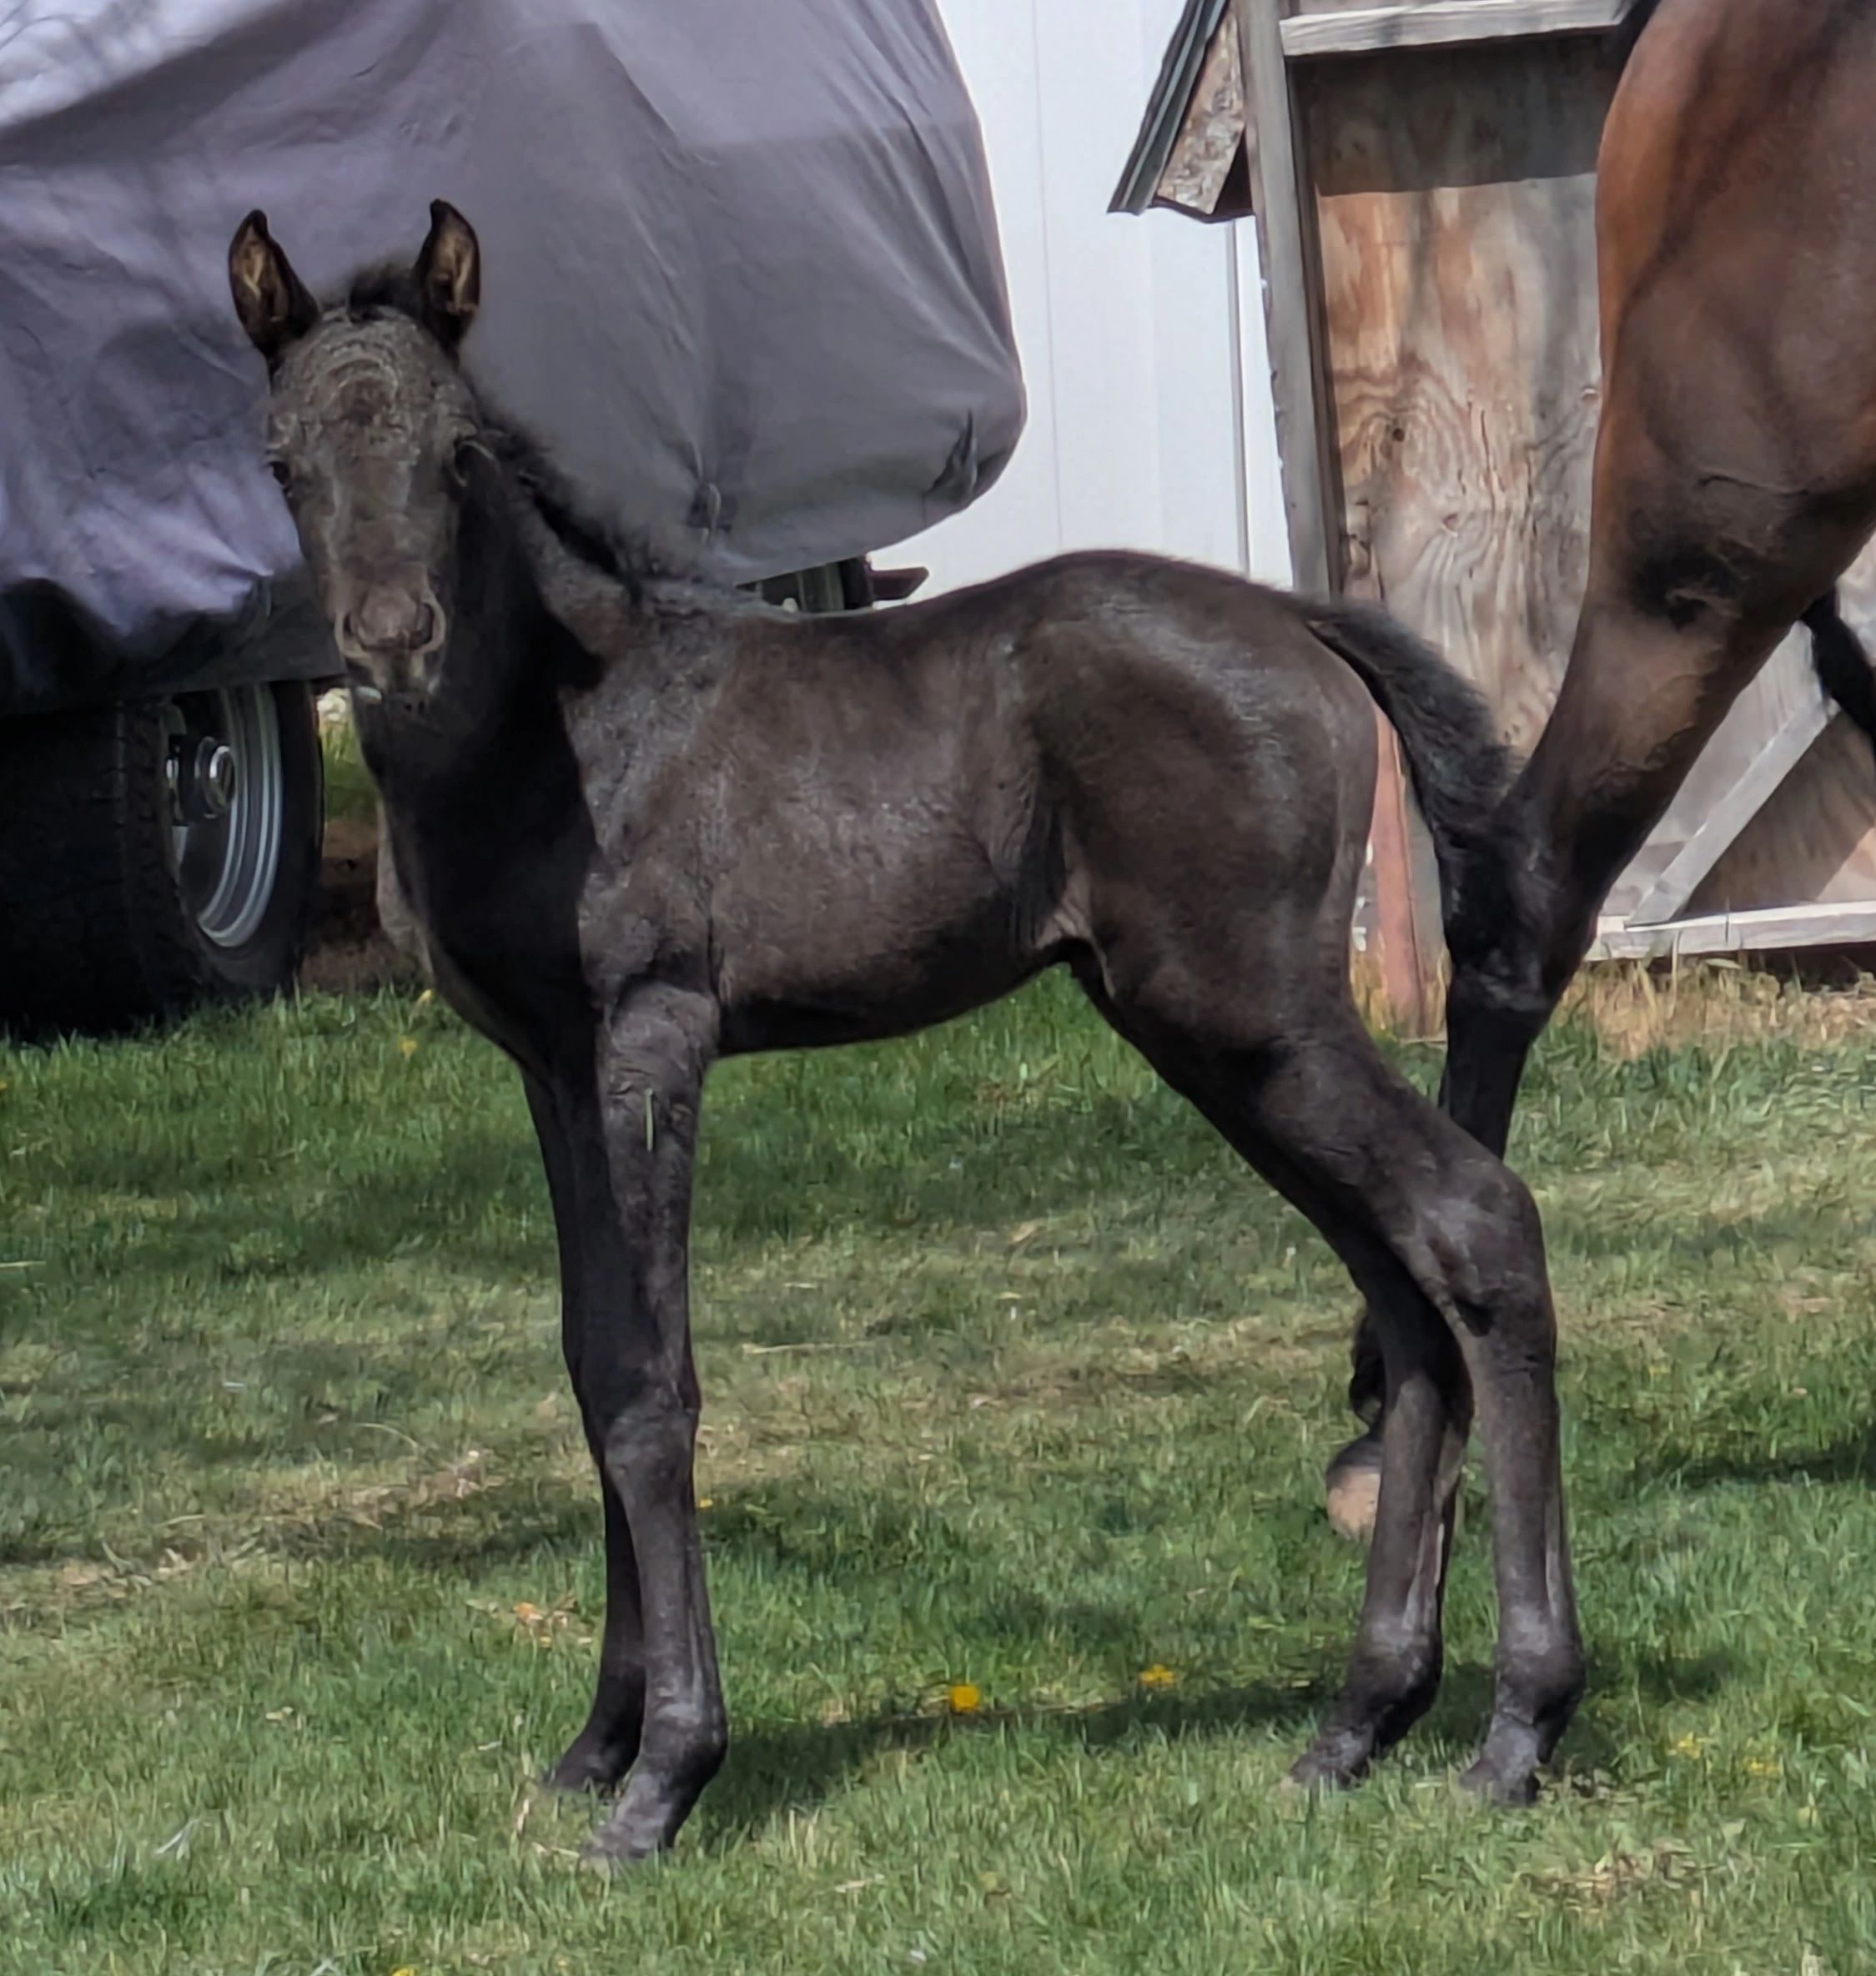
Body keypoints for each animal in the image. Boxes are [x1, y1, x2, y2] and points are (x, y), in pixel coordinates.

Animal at [228, 201, 1583, 1861]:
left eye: (461, 451)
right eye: (284, 456)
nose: (390, 639)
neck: (558, 736)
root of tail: (1298, 620)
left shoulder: (651, 1037)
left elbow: (655, 1383)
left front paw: (668, 1772)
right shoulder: (547, 1067)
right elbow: (591, 1362)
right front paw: (596, 1743)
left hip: (1251, 1010)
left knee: (1475, 1219)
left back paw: (1517, 1723)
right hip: (1210, 1036)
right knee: (1401, 1290)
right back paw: (1358, 1718)